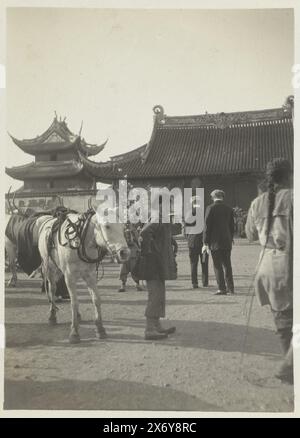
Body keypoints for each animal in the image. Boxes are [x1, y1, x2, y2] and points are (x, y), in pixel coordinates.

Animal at [36, 210, 130, 344]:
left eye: (123, 227)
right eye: (107, 226)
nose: (125, 253)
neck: (81, 241)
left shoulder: (89, 275)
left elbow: (96, 299)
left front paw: (100, 329)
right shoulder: (69, 276)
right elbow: (74, 303)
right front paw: (74, 333)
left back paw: (78, 315)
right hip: (49, 268)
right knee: (52, 289)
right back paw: (52, 315)